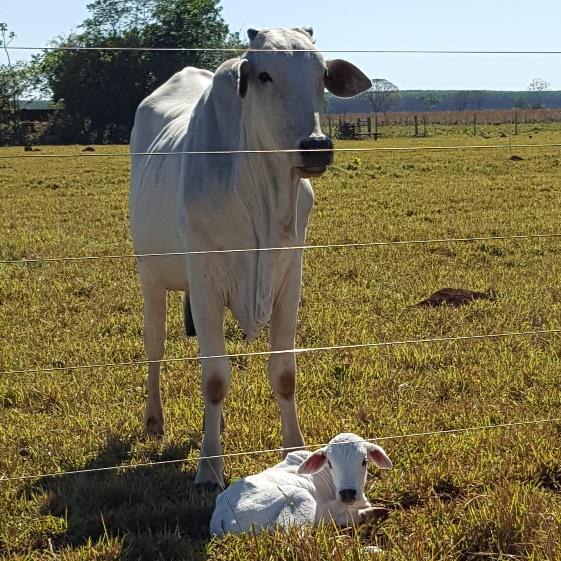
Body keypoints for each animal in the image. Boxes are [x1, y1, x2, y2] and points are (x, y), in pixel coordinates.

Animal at [127, 26, 372, 484]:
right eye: (263, 75)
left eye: (321, 75)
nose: (316, 146)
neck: (263, 193)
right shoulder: (206, 283)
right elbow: (215, 379)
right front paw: (209, 466)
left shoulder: (289, 279)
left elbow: (283, 374)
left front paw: (295, 452)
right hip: (150, 274)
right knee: (155, 346)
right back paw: (154, 420)